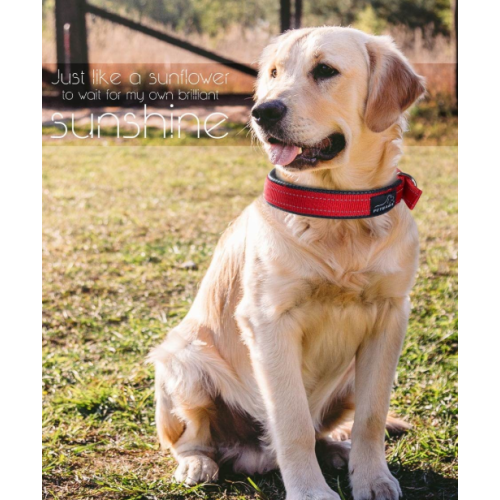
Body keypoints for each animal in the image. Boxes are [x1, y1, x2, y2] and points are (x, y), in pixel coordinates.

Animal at [149, 26, 426, 500]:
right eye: (274, 73)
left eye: (325, 70)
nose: (262, 111)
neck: (336, 209)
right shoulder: (269, 321)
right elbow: (292, 422)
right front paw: (311, 491)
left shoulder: (390, 317)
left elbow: (371, 416)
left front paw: (372, 478)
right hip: (182, 362)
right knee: (190, 439)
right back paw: (197, 465)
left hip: (347, 377)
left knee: (326, 429)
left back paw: (336, 449)